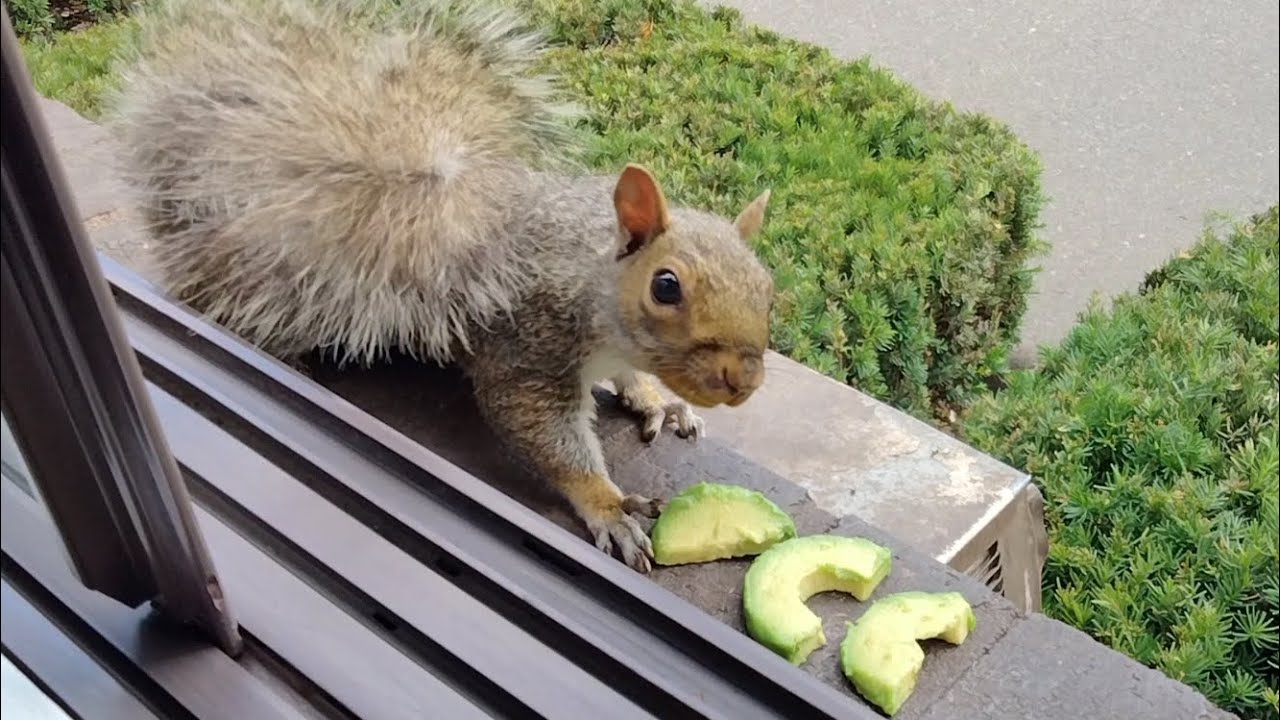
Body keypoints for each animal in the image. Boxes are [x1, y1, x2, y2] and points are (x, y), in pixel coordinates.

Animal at [107, 0, 775, 572]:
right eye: (666, 287)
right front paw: (608, 505)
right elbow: (541, 432)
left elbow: (632, 380)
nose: (744, 382)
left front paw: (657, 399)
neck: (595, 289)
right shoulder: (527, 347)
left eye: (768, 286)